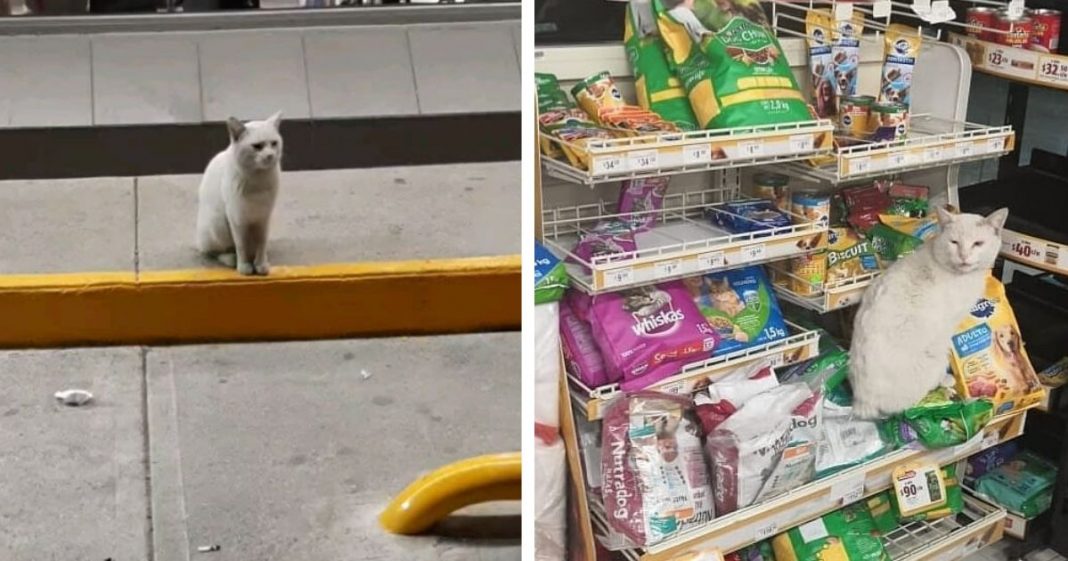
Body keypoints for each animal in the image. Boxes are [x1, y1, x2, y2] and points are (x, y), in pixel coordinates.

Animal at [194, 111, 281, 275]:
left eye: (274, 143)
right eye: (257, 146)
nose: (270, 155)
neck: (258, 179)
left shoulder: (264, 217)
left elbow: (262, 243)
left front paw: (261, 264)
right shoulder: (237, 219)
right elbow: (241, 245)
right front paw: (244, 266)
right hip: (217, 223)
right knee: (215, 251)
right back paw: (231, 259)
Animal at [850, 204, 1008, 414]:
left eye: (977, 244)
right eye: (954, 242)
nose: (964, 256)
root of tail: (862, 401)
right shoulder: (949, 323)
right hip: (935, 355)